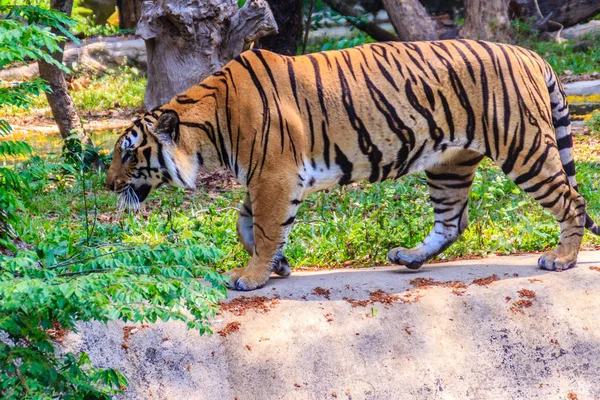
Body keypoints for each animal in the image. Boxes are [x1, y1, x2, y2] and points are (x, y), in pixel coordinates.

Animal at [106, 39, 600, 290]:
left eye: (128, 153)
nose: (108, 185)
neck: (208, 131)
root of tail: (530, 53)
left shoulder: (274, 176)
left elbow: (263, 228)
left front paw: (252, 276)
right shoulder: (264, 178)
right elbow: (247, 225)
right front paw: (278, 266)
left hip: (524, 147)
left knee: (572, 201)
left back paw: (562, 259)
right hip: (449, 163)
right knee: (452, 221)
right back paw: (410, 257)